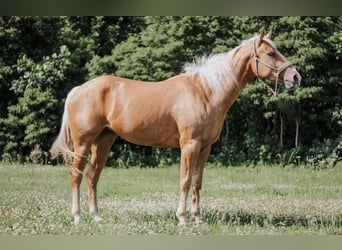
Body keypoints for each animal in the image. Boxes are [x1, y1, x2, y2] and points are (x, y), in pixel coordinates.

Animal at [50, 28, 300, 226]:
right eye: (270, 53)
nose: (296, 77)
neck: (205, 91)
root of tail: (79, 89)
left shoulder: (205, 148)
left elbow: (197, 182)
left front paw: (198, 219)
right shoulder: (189, 145)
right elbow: (185, 180)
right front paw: (182, 218)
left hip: (103, 142)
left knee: (93, 176)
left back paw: (96, 216)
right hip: (83, 144)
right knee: (76, 175)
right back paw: (78, 217)